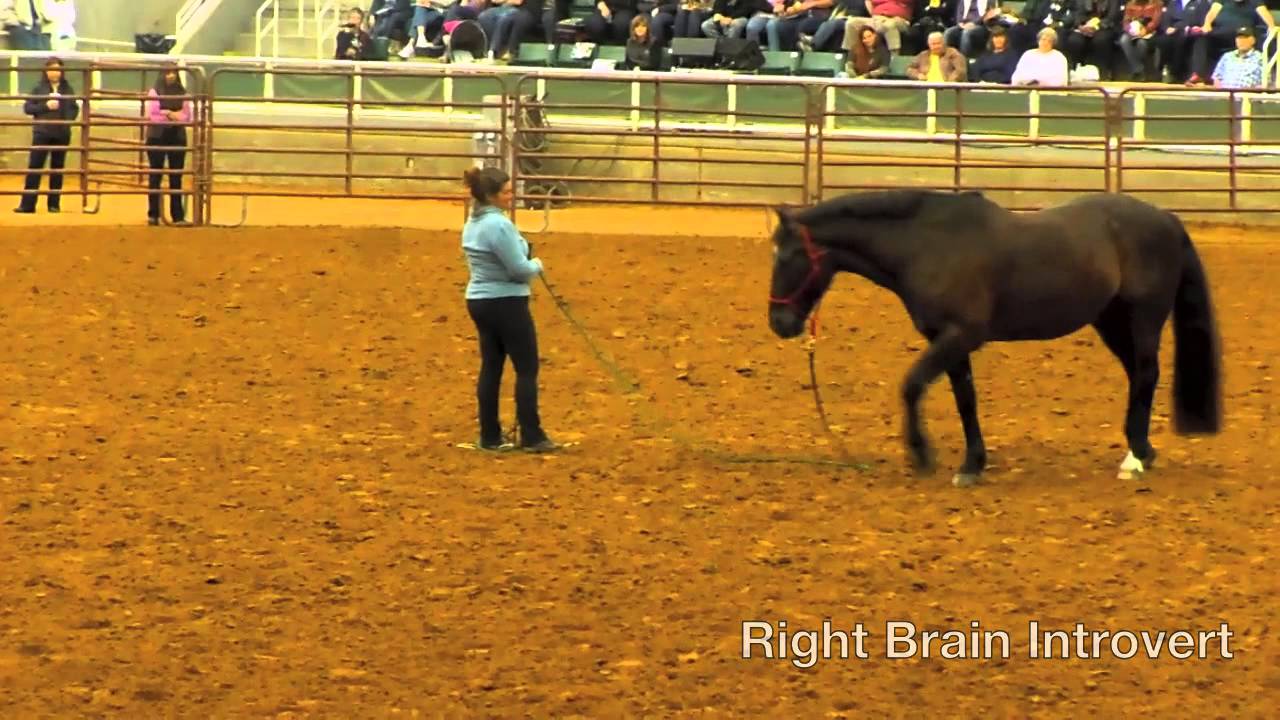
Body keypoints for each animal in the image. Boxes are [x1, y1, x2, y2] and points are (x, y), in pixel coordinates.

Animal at [766, 189, 1222, 488]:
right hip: (1110, 322)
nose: (779, 322)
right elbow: (965, 401)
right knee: (1136, 377)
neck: (926, 242)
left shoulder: (959, 335)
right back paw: (1138, 452)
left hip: (1143, 319)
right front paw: (972, 464)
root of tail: (1166, 218)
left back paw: (1137, 457)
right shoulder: (949, 340)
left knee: (1146, 374)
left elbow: (912, 385)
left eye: (788, 256)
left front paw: (922, 454)